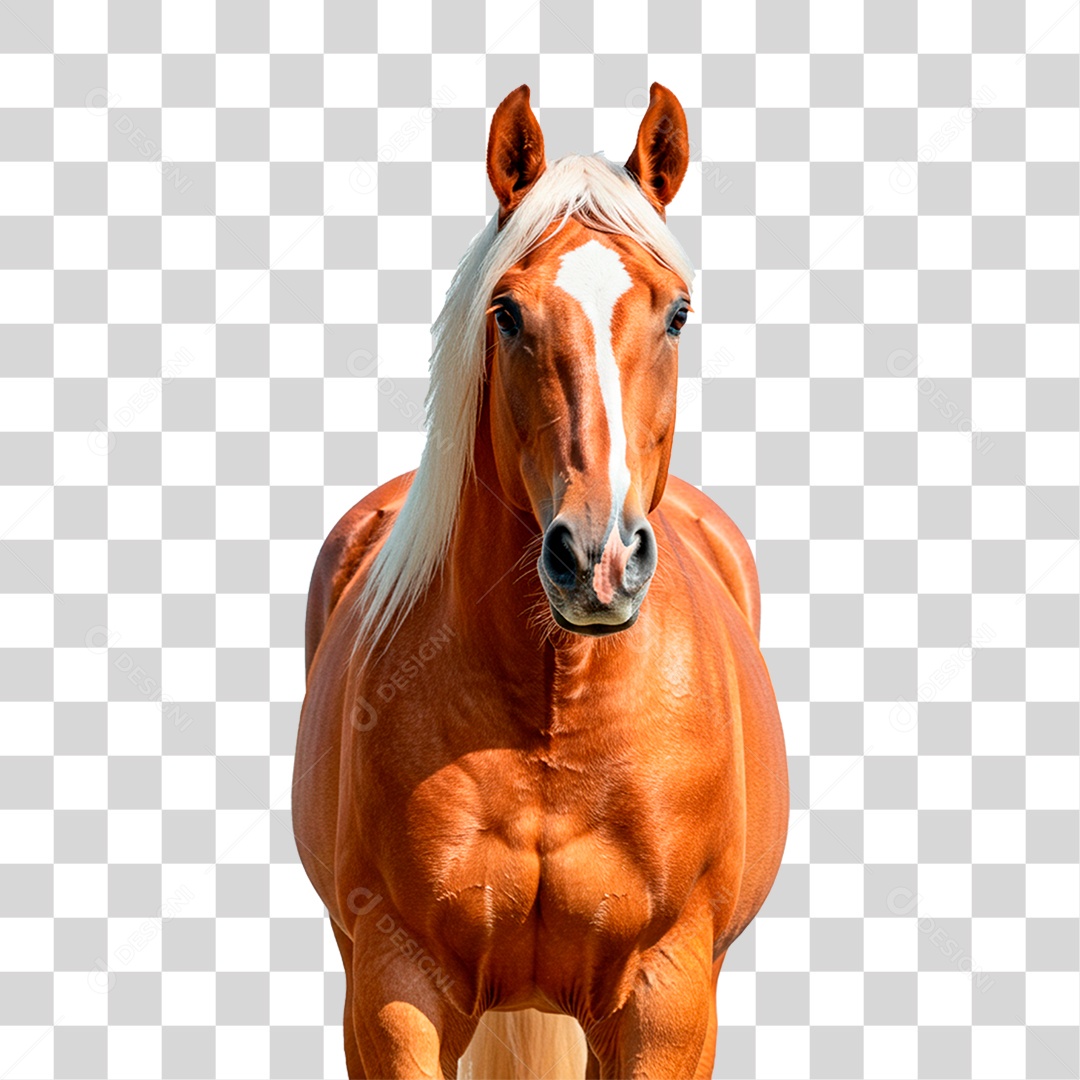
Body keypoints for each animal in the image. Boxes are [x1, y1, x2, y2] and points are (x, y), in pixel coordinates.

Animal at [294, 83, 789, 1079]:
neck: (556, 703)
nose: (597, 560)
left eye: (677, 313)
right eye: (509, 313)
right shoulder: (392, 991)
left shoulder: (666, 998)